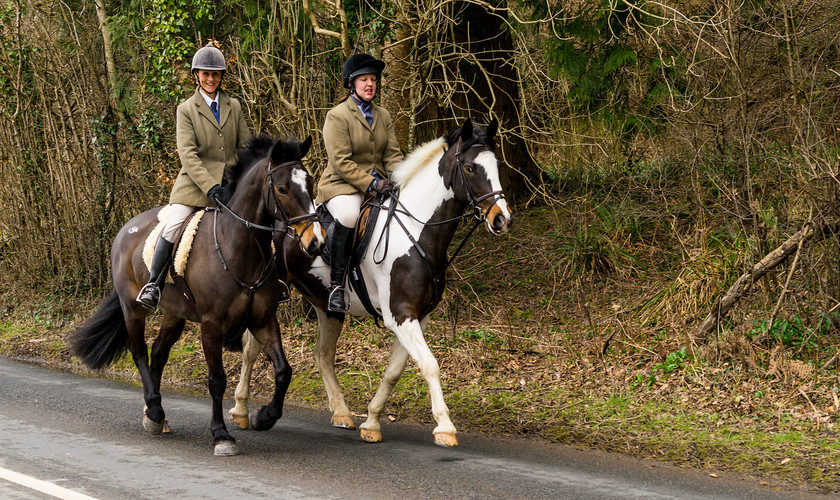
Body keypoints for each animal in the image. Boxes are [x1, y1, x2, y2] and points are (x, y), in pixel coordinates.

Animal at [69, 135, 324, 456]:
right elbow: (216, 380)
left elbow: (283, 371)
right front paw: (221, 435)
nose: (315, 242)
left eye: (311, 183)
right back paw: (154, 409)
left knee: (158, 353)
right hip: (132, 307)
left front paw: (264, 417)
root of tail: (126, 229)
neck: (239, 246)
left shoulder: (263, 320)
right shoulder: (211, 325)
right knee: (139, 351)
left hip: (174, 313)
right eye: (282, 188)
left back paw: (155, 415)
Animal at [233, 119, 516, 448]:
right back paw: (240, 410)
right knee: (251, 348)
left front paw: (371, 422)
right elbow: (429, 364)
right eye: (470, 168)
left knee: (322, 355)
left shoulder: (418, 316)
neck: (417, 231)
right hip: (267, 297)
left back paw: (342, 412)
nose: (502, 219)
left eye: (496, 165)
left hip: (326, 305)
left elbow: (394, 371)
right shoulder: (401, 315)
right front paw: (445, 427)